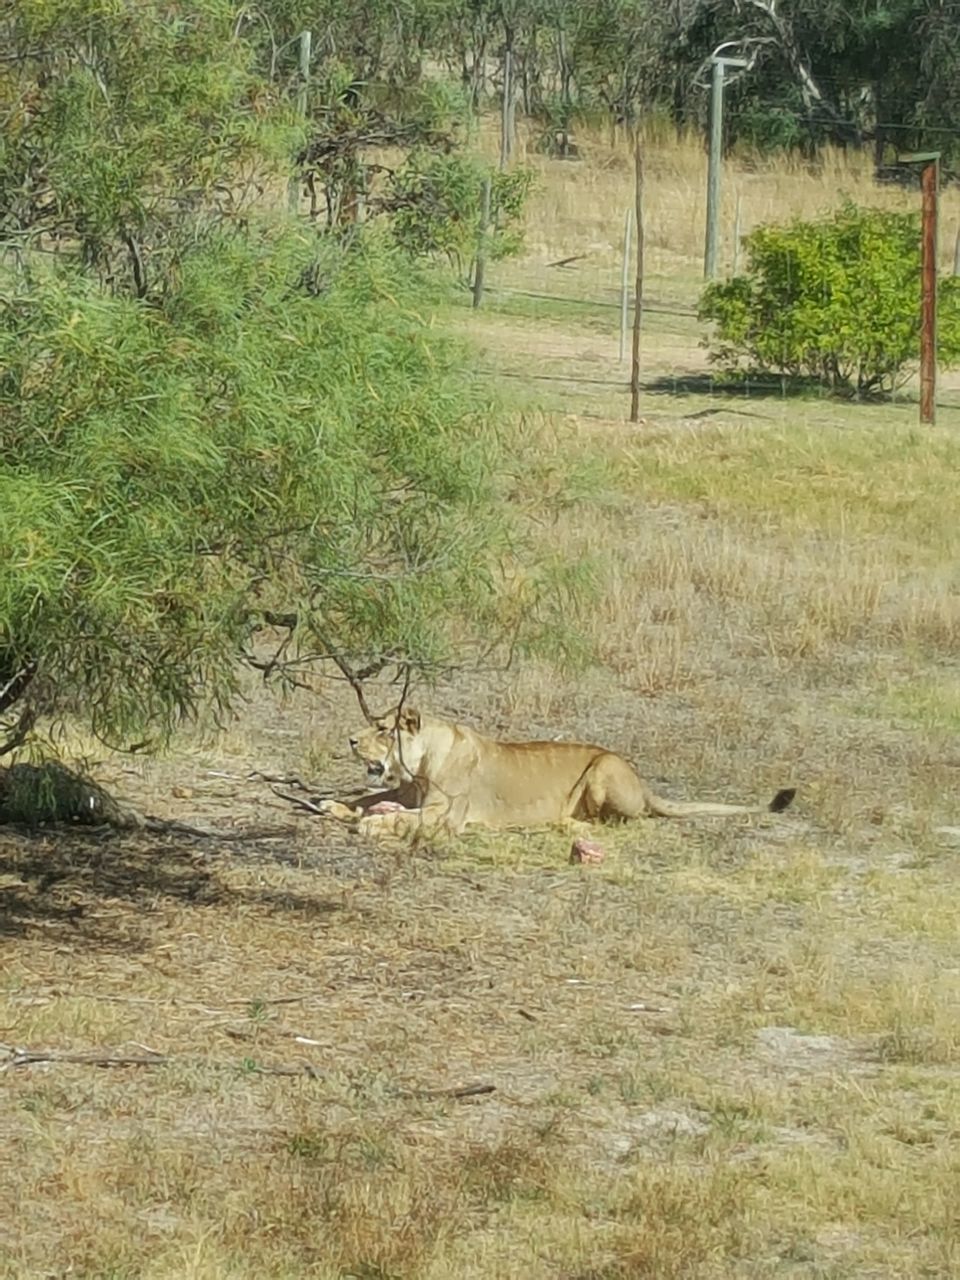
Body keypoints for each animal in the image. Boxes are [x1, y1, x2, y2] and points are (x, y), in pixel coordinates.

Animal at [317, 711, 798, 839]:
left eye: (383, 728)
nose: (351, 740)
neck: (419, 766)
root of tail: (643, 784)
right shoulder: (409, 794)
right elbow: (363, 798)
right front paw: (333, 805)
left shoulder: (445, 816)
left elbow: (399, 817)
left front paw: (370, 825)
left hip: (602, 770)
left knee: (623, 821)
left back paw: (566, 824)